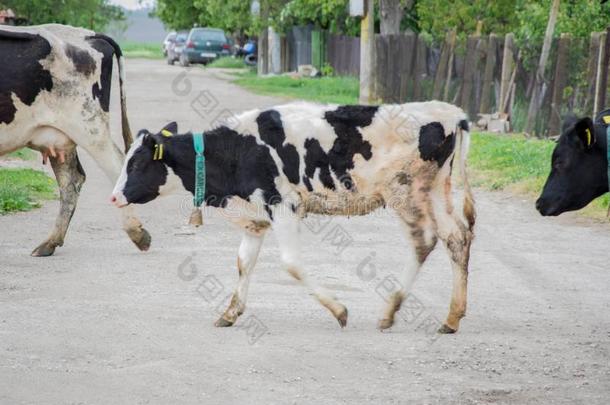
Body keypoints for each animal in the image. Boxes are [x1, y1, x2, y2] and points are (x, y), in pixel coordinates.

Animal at [0, 23, 150, 254]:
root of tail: (88, 34)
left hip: (89, 125)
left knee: (116, 166)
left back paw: (137, 233)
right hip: (60, 136)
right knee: (71, 180)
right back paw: (50, 242)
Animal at [110, 100, 476, 332]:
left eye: (137, 163)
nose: (113, 197)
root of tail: (450, 112)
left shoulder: (282, 205)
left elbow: (291, 264)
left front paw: (340, 311)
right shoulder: (256, 217)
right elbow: (243, 263)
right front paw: (230, 313)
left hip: (404, 192)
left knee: (424, 241)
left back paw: (391, 310)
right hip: (435, 190)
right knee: (456, 237)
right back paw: (452, 318)